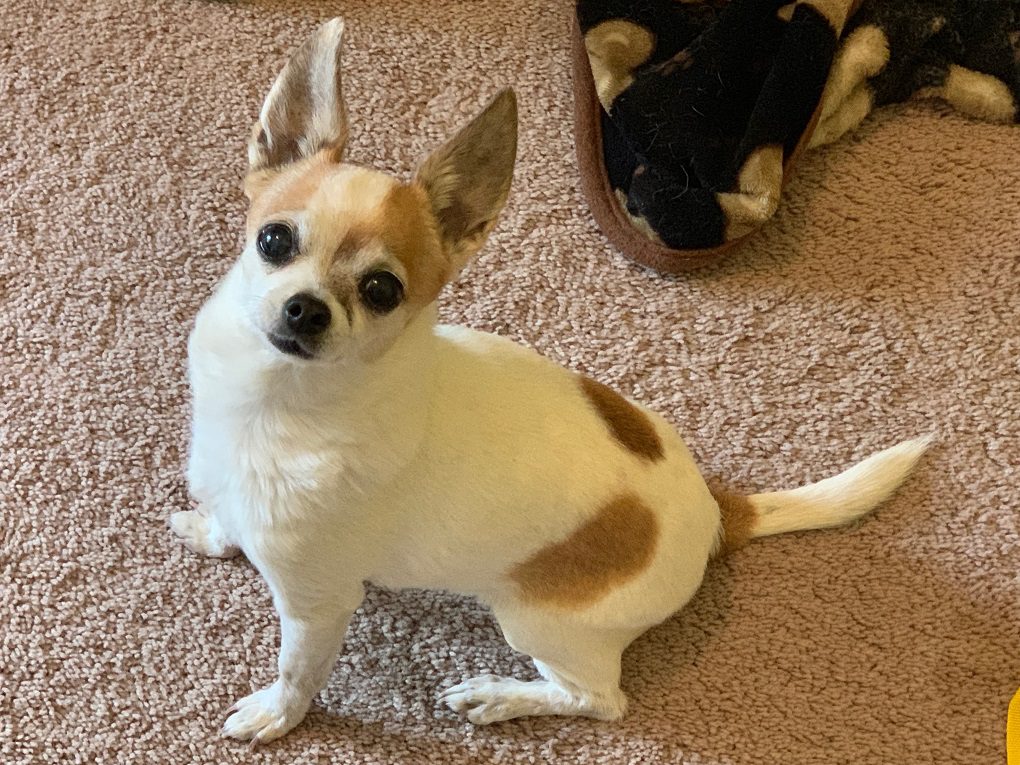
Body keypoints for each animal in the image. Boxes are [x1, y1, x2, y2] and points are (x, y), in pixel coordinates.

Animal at [171, 17, 930, 746]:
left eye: (383, 290)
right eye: (274, 241)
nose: (306, 308)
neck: (278, 401)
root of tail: (720, 512)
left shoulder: (318, 603)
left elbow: (297, 671)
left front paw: (277, 716)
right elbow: (232, 520)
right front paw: (214, 531)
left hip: (538, 622)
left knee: (598, 700)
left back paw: (502, 696)